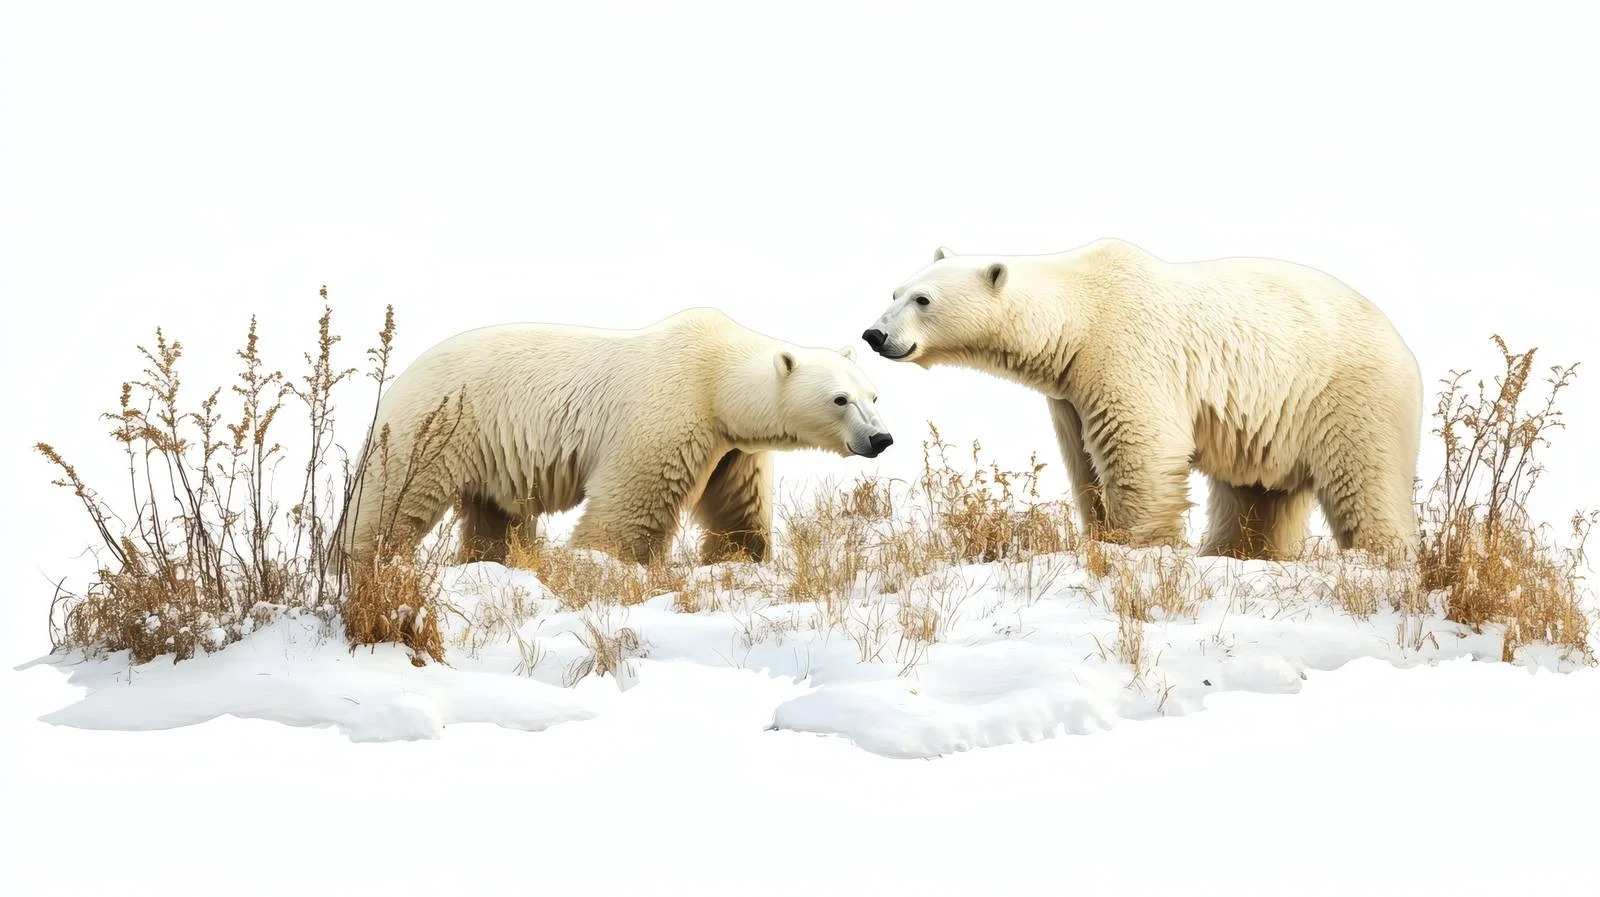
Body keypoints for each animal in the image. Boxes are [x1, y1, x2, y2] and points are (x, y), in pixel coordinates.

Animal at [340, 307, 894, 570]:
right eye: (840, 400)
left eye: (874, 395)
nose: (881, 438)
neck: (717, 377)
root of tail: (401, 377)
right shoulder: (669, 410)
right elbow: (632, 505)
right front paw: (601, 567)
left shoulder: (733, 448)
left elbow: (738, 507)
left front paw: (739, 560)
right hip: (440, 426)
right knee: (393, 502)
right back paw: (358, 562)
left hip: (490, 452)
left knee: (496, 517)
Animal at [862, 239, 1422, 560]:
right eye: (895, 291)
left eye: (923, 300)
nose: (873, 335)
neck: (1079, 314)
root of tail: (1403, 344)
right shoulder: (1069, 391)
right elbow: (1083, 463)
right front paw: (1101, 533)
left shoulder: (1127, 352)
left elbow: (1140, 447)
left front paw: (1140, 544)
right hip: (1272, 420)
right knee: (1256, 495)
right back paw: (1235, 553)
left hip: (1348, 393)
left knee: (1364, 479)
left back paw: (1379, 557)